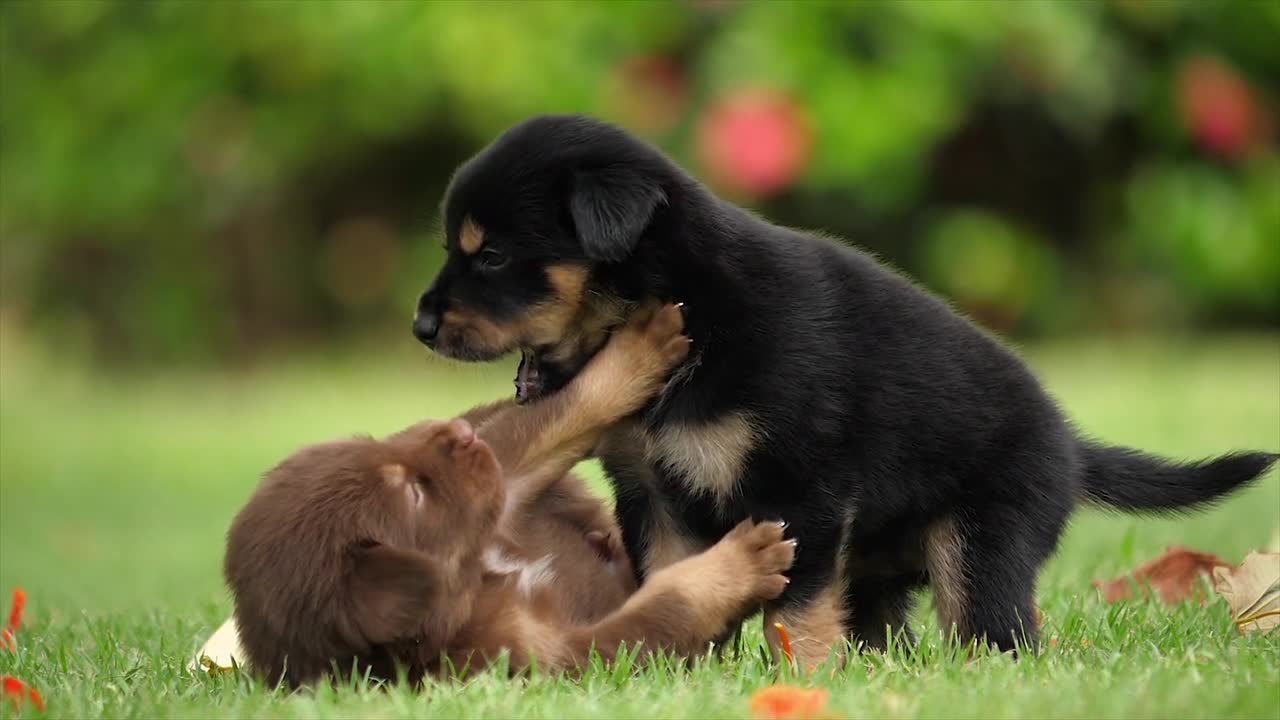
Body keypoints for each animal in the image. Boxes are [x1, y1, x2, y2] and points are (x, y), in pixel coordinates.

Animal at [414, 113, 1274, 661]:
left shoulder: (802, 490)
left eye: (491, 255)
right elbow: (673, 578)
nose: (419, 325)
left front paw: (801, 678)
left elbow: (793, 611)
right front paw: (682, 665)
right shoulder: (655, 492)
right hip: (881, 569)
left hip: (983, 540)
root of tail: (1070, 444)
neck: (689, 303)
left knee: (996, 631)